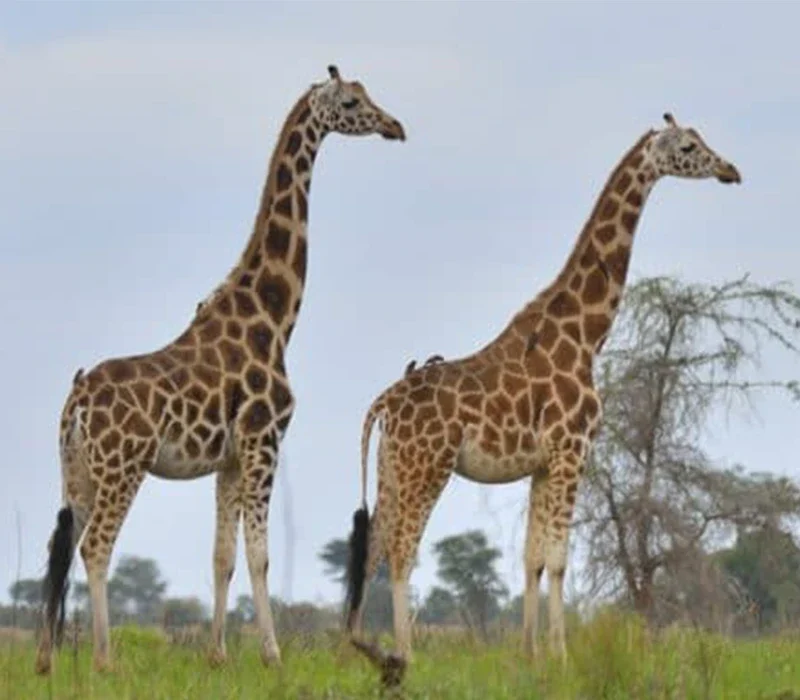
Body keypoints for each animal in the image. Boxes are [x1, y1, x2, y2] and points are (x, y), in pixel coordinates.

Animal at [34, 64, 405, 676]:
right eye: (353, 102)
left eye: (369, 96)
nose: (394, 126)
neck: (275, 319)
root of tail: (77, 403)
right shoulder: (263, 441)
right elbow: (260, 555)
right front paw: (273, 655)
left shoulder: (228, 459)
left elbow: (222, 556)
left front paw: (218, 654)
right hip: (123, 466)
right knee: (96, 547)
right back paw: (105, 660)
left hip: (76, 470)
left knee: (60, 548)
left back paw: (45, 661)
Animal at [343, 113, 741, 684]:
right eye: (688, 146)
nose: (730, 170)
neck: (586, 335)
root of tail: (382, 405)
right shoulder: (572, 450)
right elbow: (557, 559)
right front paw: (563, 655)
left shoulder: (541, 464)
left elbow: (531, 558)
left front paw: (530, 655)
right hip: (428, 467)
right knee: (400, 551)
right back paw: (405, 656)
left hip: (392, 468)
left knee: (373, 546)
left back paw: (362, 651)